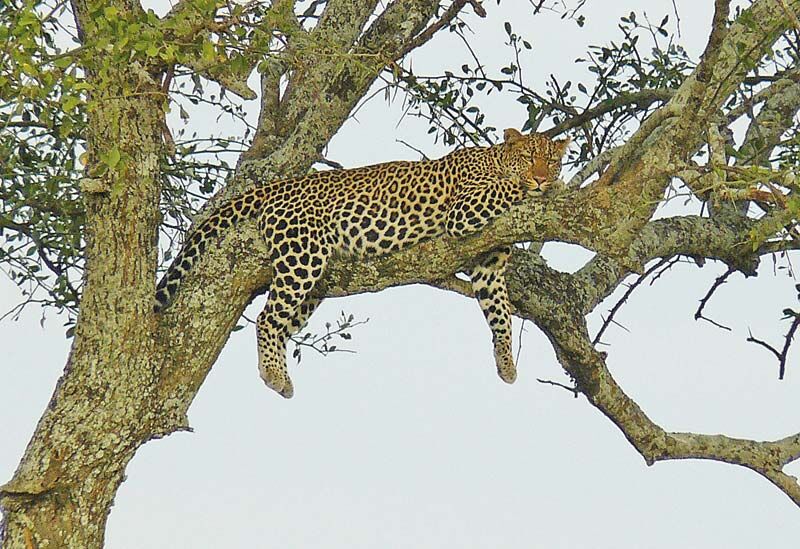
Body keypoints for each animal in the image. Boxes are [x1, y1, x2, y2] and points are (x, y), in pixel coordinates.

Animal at [154, 128, 569, 398]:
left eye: (552, 160)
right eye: (529, 158)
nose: (542, 177)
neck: (493, 158)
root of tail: (282, 185)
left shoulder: (488, 264)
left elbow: (499, 315)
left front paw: (506, 362)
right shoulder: (463, 212)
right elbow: (506, 188)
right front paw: (547, 188)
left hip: (313, 280)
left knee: (283, 320)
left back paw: (279, 373)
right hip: (301, 254)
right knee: (267, 318)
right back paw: (273, 374)